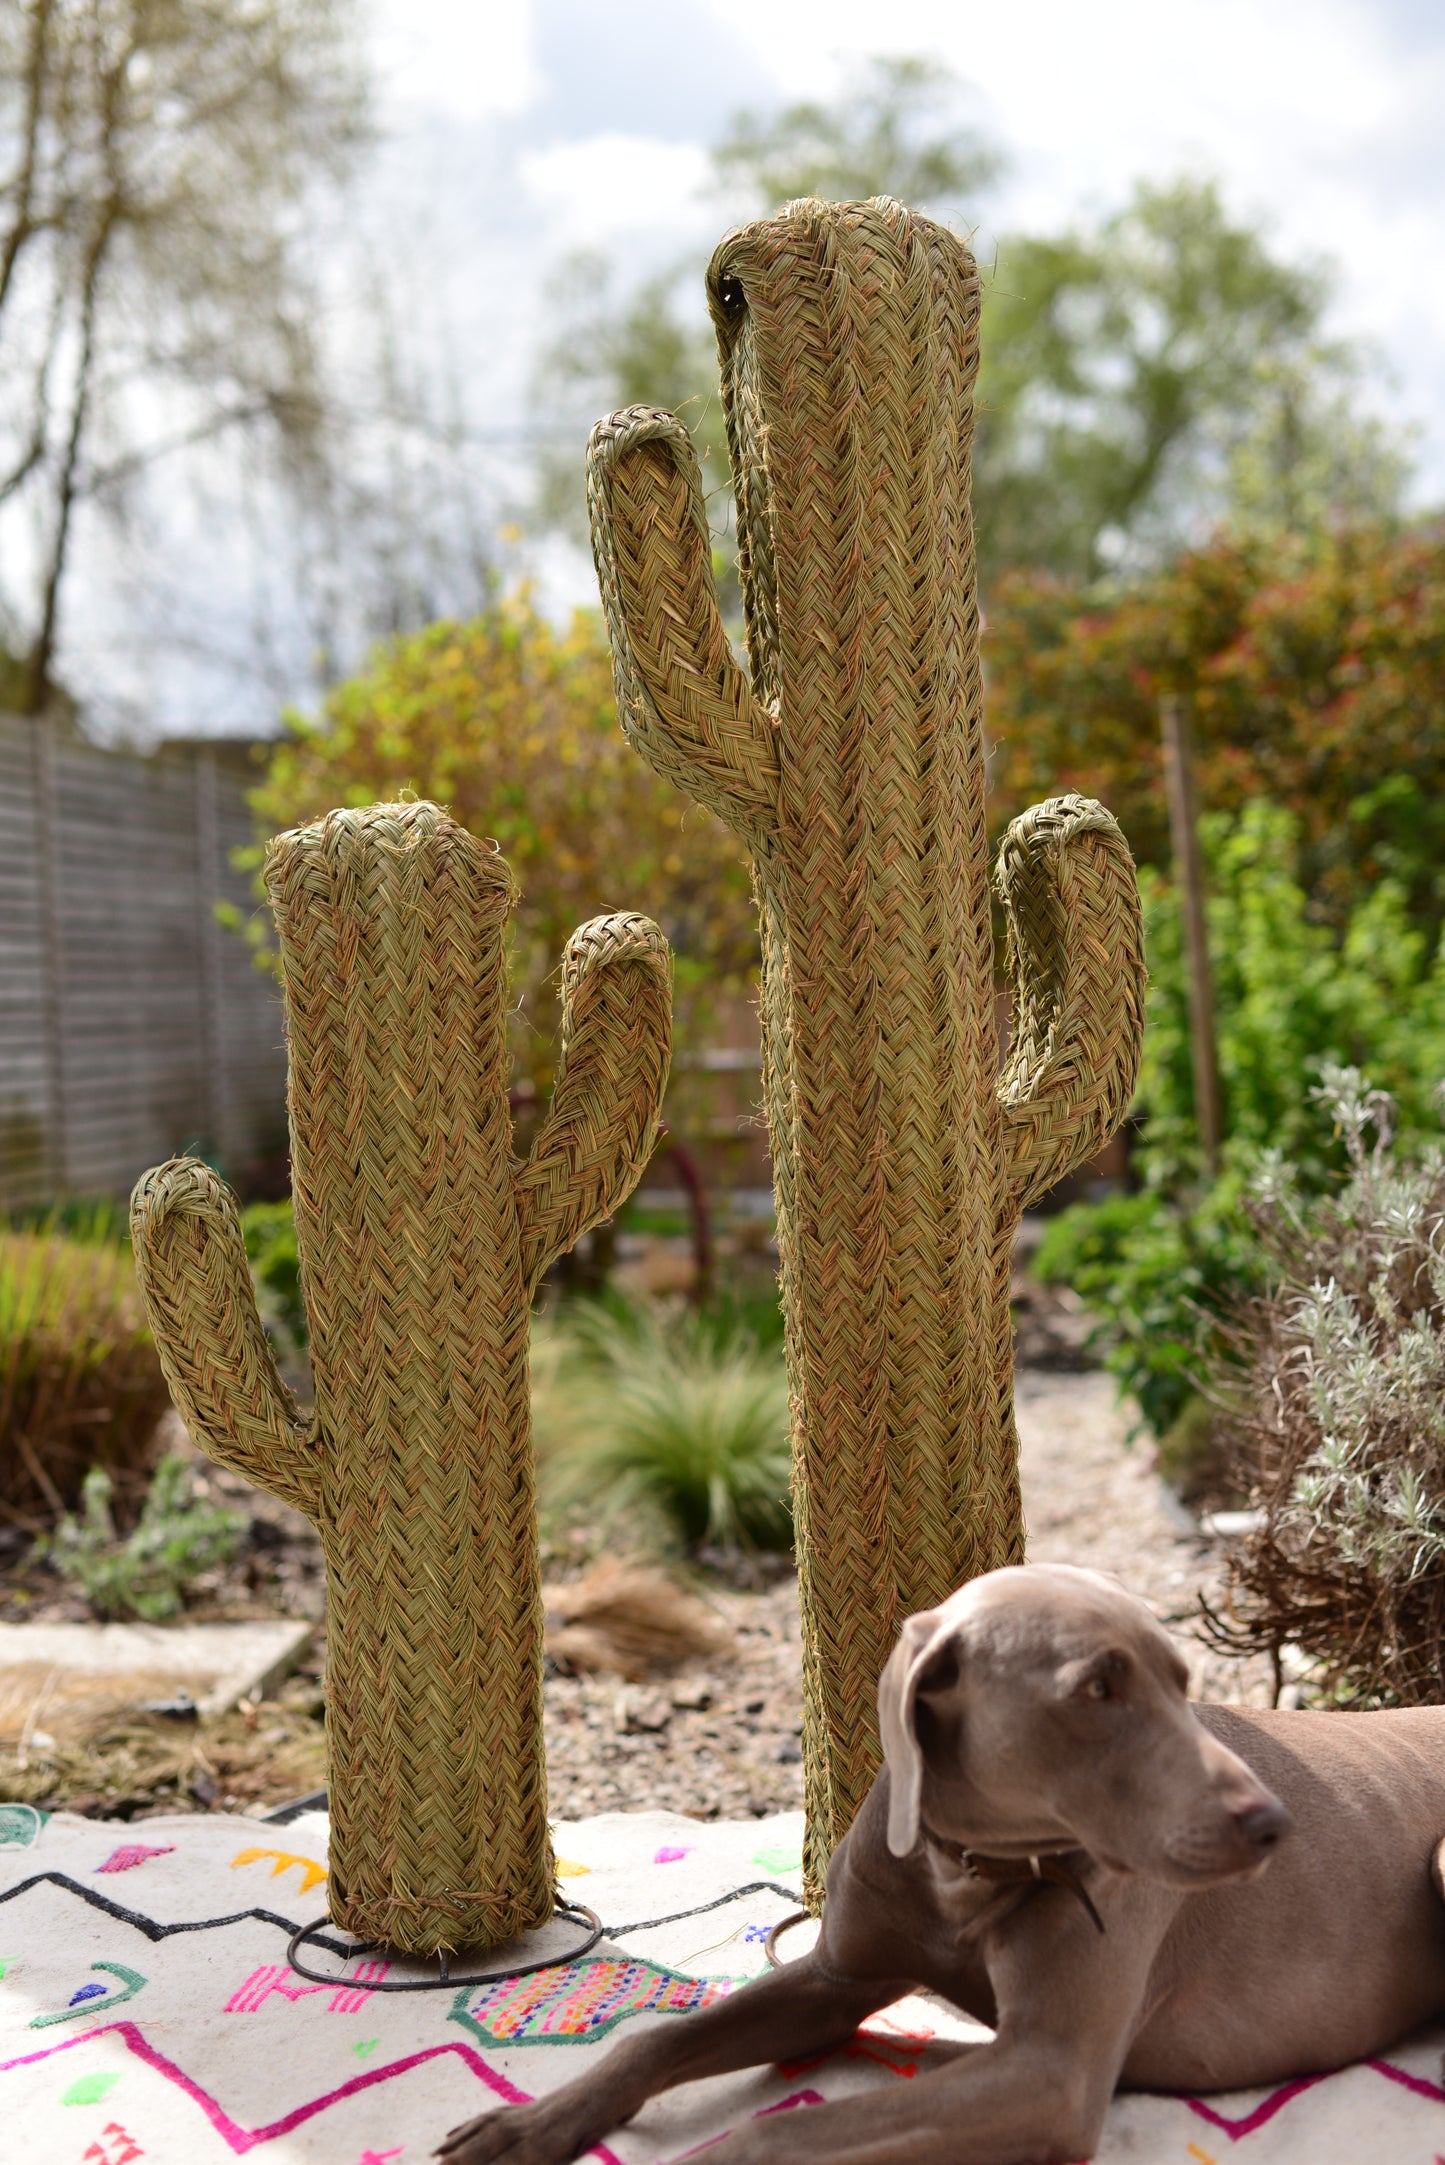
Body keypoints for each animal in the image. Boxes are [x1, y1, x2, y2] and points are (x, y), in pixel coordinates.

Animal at [435, 1567, 1445, 2156]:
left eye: (1181, 1682)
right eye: (1097, 1686)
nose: (1273, 1822)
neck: (966, 1869)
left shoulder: (1046, 2072)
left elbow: (773, 2138)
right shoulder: (834, 1977)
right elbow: (656, 2037)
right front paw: (530, 2125)